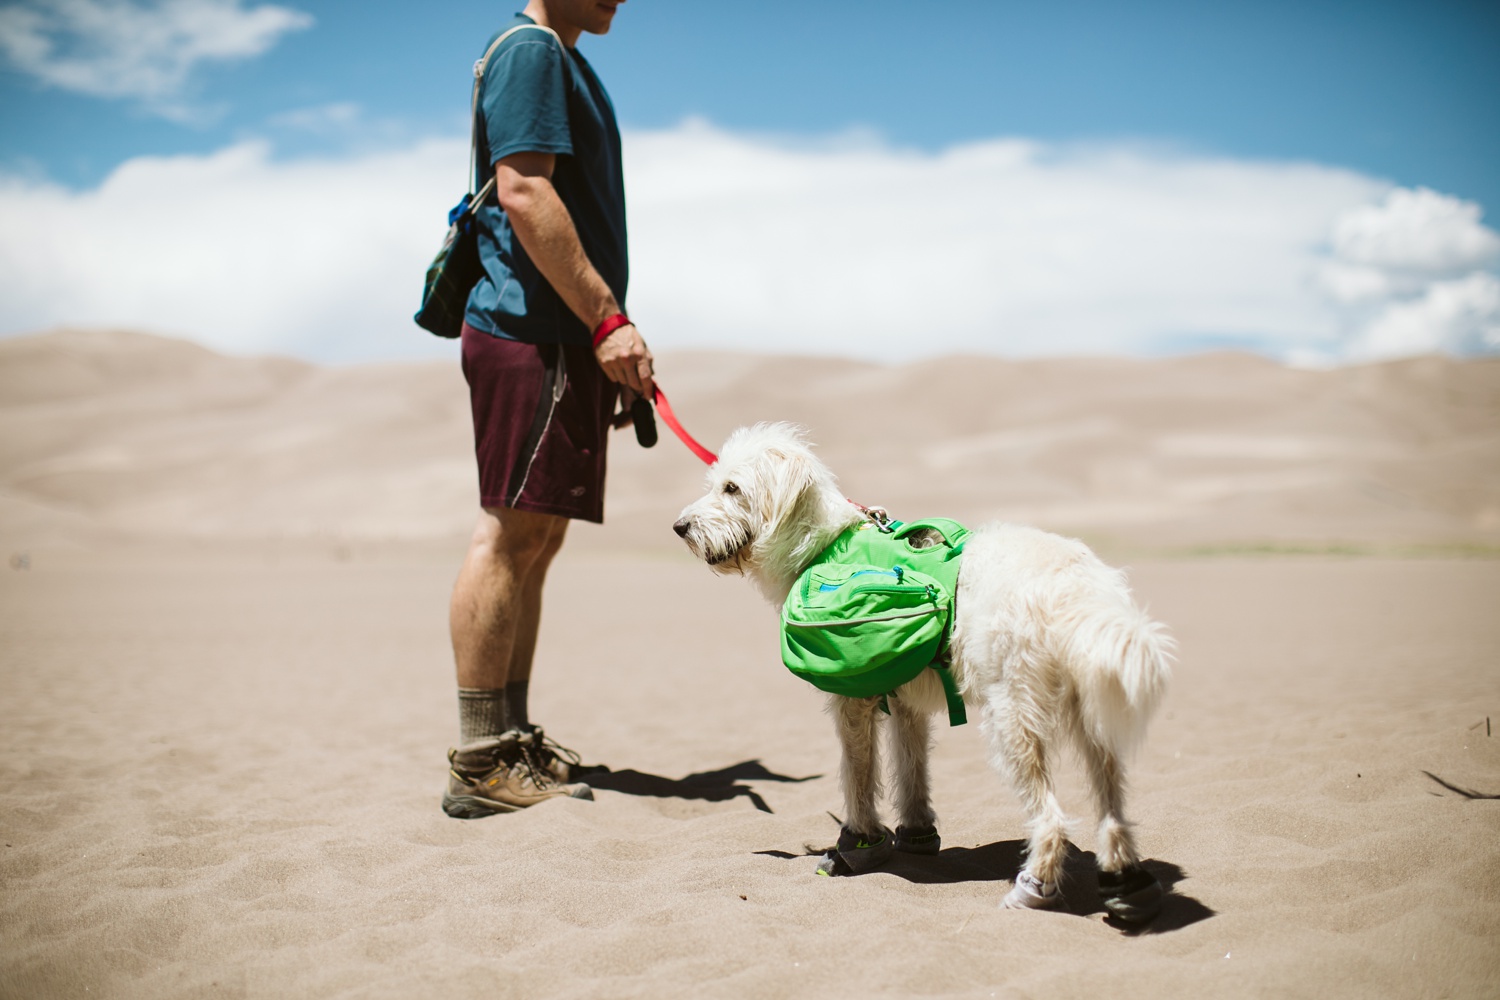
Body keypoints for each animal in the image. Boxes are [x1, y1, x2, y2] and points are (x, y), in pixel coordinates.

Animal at [675, 422, 1176, 923]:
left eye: (732, 488)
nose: (680, 528)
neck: (823, 546)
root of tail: (1076, 586)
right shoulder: (905, 701)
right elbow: (911, 766)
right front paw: (916, 834)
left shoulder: (851, 702)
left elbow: (857, 775)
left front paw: (857, 843)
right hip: (1089, 716)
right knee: (1111, 806)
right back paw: (1128, 884)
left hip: (1014, 719)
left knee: (1051, 817)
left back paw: (1033, 888)